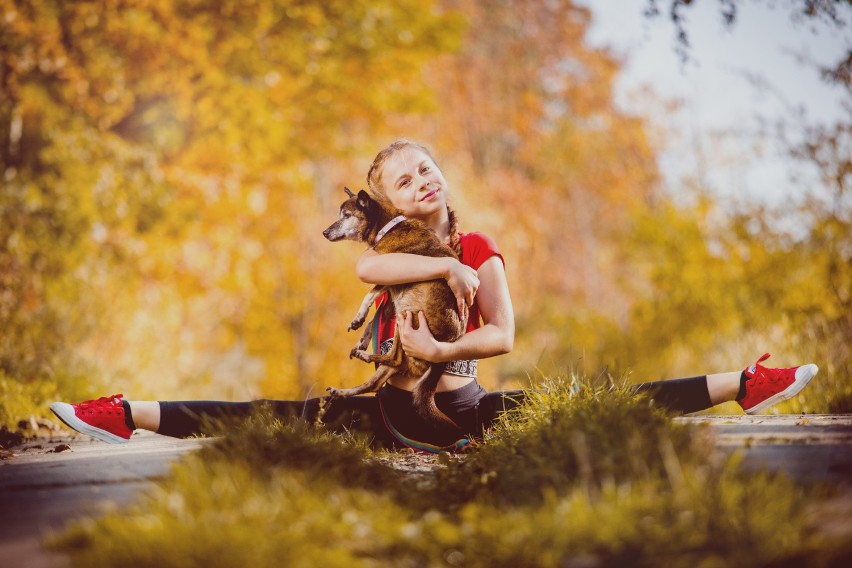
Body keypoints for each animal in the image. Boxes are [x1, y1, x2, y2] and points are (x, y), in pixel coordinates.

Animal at [322, 189, 466, 428]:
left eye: (347, 215)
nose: (324, 232)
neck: (387, 227)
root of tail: (443, 355)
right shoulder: (391, 296)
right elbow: (375, 315)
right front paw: (362, 333)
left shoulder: (390, 280)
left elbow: (369, 296)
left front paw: (358, 320)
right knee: (376, 382)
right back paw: (342, 391)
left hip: (406, 314)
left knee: (394, 358)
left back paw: (365, 356)